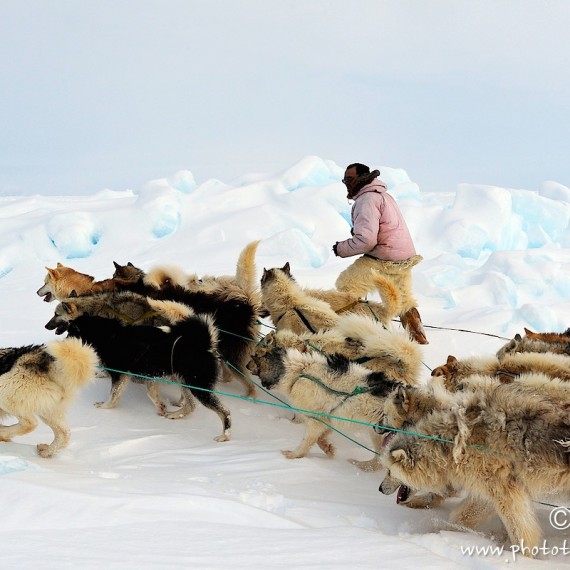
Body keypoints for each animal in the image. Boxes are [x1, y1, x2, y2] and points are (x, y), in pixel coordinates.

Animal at [55, 312, 229, 442]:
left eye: (70, 333)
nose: (62, 344)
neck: (110, 336)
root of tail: (205, 345)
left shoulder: (120, 374)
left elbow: (113, 395)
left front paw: (105, 407)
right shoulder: (150, 375)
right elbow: (151, 394)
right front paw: (160, 406)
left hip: (199, 387)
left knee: (224, 411)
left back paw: (225, 435)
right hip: (185, 382)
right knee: (191, 405)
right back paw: (175, 415)